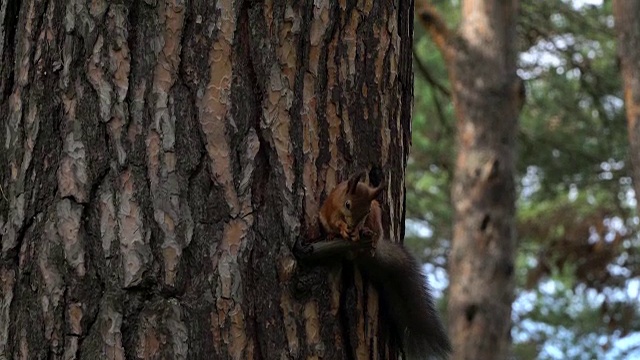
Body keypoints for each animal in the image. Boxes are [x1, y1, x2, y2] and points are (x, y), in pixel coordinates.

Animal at [316, 170, 450, 358]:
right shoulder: (333, 208)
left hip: (376, 216)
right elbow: (336, 221)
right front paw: (343, 229)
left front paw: (359, 230)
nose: (353, 226)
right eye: (348, 204)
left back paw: (369, 238)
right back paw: (332, 236)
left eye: (365, 211)